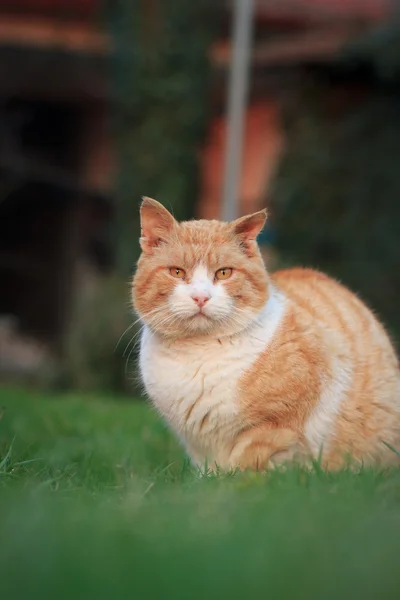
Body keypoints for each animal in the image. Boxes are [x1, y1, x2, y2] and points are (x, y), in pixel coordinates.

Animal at [133, 199, 400, 472]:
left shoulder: (275, 424)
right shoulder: (197, 445)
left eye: (223, 273)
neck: (198, 352)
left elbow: (246, 463)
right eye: (177, 272)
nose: (200, 297)